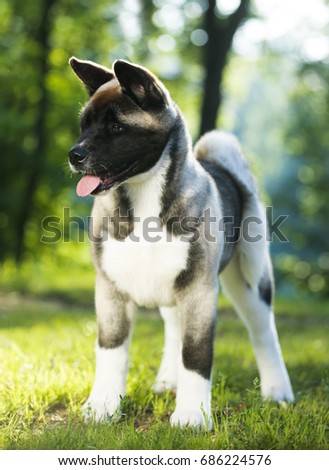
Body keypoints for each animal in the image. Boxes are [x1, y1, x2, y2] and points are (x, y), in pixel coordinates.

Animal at [68, 57, 294, 428]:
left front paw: (192, 415)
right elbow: (111, 349)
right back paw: (167, 381)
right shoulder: (111, 288)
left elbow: (195, 354)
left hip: (250, 279)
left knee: (264, 331)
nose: (74, 154)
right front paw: (102, 406)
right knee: (174, 327)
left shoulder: (199, 290)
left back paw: (277, 391)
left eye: (116, 128)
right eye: (84, 126)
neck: (144, 195)